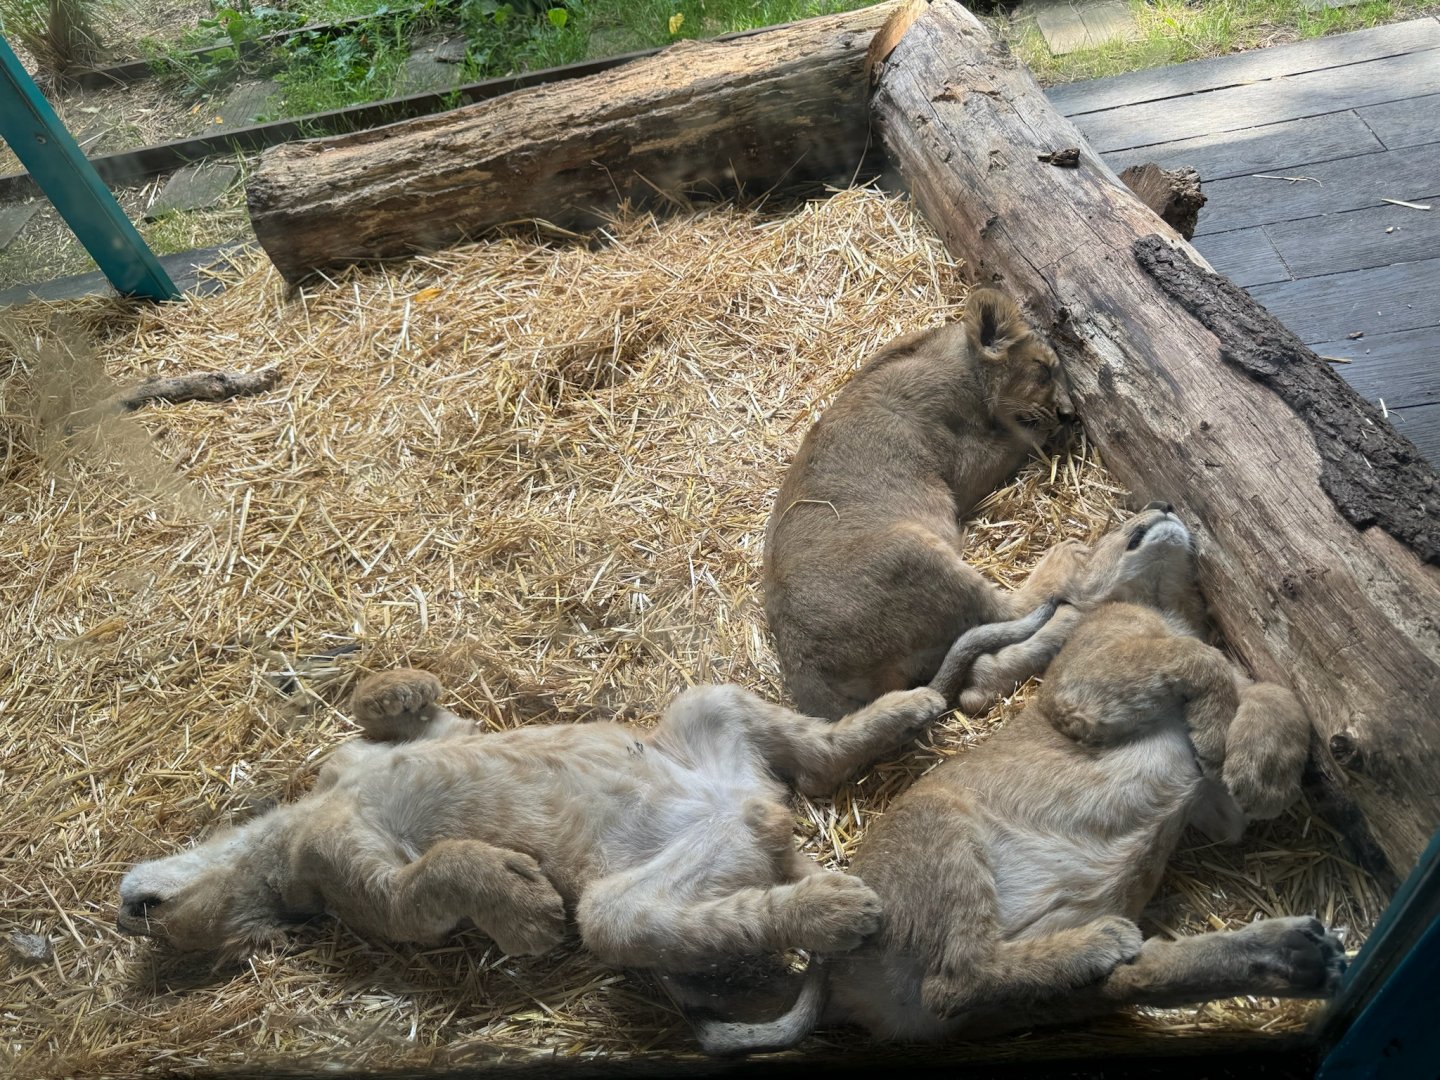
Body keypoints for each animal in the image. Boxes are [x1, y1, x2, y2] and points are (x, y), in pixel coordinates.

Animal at [115, 606, 1053, 1025]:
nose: (132, 911)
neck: (288, 829)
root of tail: (752, 814)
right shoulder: (360, 882)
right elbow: (432, 878)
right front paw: (524, 906)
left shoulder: (412, 746)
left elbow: (389, 708)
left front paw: (398, 686)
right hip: (625, 904)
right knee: (738, 911)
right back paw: (835, 904)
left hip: (706, 708)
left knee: (820, 753)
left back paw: (907, 710)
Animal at [695, 506, 1344, 1054]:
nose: (1162, 505)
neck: (1167, 604)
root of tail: (828, 969)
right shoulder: (1082, 690)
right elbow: (1198, 661)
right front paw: (1222, 739)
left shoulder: (1215, 811)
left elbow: (1273, 690)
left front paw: (1262, 770)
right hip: (944, 833)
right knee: (955, 979)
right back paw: (1115, 943)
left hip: (1029, 990)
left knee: (1126, 980)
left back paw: (1298, 957)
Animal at [763, 287, 1075, 720]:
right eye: (1043, 370)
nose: (1071, 414)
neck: (957, 364)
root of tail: (811, 680)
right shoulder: (965, 466)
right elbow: (1021, 437)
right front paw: (1046, 429)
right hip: (910, 550)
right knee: (1006, 610)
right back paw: (1065, 559)